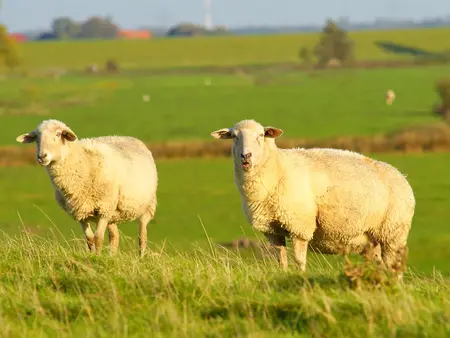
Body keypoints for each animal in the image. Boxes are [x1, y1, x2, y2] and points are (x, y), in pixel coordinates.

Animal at [16, 119, 158, 256]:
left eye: (58, 134)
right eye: (36, 137)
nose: (42, 156)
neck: (83, 163)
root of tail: (130, 138)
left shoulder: (103, 209)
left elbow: (98, 238)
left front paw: (98, 258)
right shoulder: (80, 211)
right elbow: (89, 239)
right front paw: (92, 256)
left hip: (146, 206)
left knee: (142, 236)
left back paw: (141, 257)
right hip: (112, 212)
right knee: (114, 236)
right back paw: (112, 257)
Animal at [211, 120, 414, 276]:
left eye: (261, 135)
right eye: (234, 136)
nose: (246, 156)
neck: (277, 169)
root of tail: (402, 176)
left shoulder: (299, 225)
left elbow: (299, 260)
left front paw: (300, 278)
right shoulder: (272, 230)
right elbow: (281, 260)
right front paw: (283, 275)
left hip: (394, 233)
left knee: (394, 266)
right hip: (373, 239)